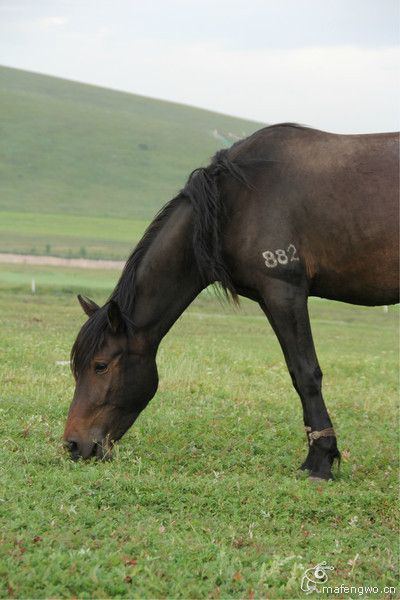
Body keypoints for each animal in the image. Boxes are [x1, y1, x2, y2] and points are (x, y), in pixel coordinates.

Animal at [62, 124, 396, 480]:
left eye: (100, 365)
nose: (72, 444)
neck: (236, 199)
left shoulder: (284, 292)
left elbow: (306, 374)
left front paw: (320, 460)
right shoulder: (271, 299)